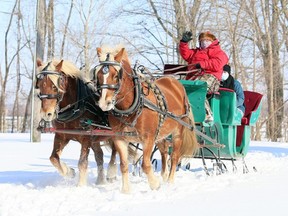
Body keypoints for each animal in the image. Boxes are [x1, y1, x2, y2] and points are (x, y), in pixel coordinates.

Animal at [93, 46, 199, 192]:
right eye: (98, 75)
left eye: (116, 76)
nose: (104, 103)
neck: (132, 105)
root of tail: (175, 82)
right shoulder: (120, 138)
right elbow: (123, 165)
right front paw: (126, 191)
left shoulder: (148, 138)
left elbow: (145, 164)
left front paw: (155, 184)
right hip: (160, 133)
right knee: (164, 152)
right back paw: (164, 175)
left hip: (178, 131)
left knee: (174, 156)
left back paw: (170, 182)